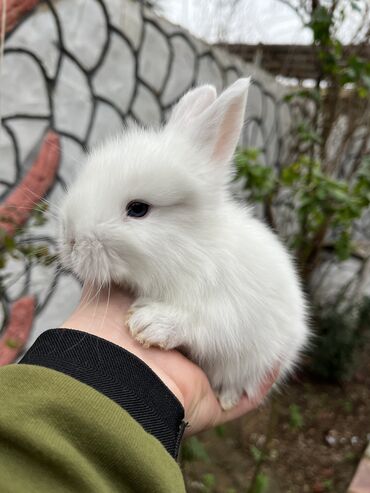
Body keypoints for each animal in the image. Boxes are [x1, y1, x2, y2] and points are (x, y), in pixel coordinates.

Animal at [59, 78, 308, 408]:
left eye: (138, 209)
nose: (70, 240)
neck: (190, 249)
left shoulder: (229, 314)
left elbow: (201, 323)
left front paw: (147, 325)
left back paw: (227, 398)